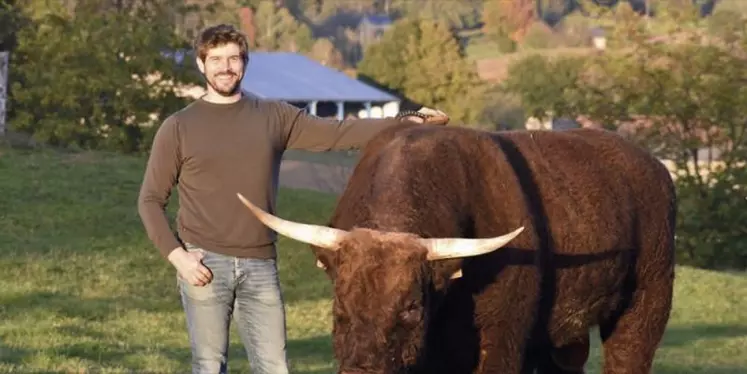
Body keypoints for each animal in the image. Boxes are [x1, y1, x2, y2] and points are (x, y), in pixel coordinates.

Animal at [235, 123, 676, 374]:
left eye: (412, 308)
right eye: (340, 306)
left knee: (629, 355)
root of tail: (653, 166)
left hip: (646, 305)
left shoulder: (501, 339)